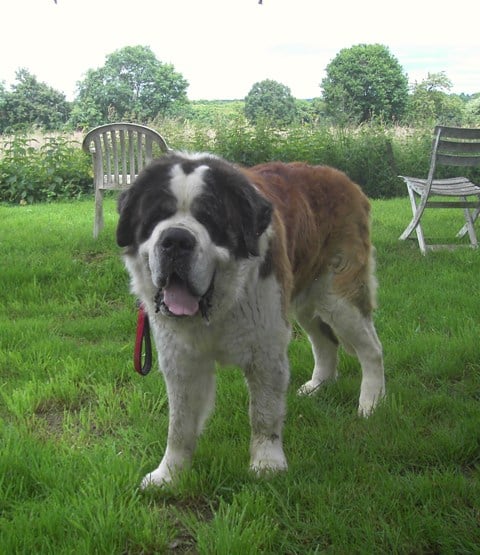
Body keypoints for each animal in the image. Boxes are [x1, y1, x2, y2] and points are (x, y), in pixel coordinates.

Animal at [116, 152, 385, 487]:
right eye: (155, 217)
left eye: (209, 218)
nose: (176, 239)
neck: (219, 304)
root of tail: (344, 179)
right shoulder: (179, 357)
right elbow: (179, 424)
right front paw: (169, 474)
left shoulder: (265, 346)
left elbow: (264, 413)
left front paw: (267, 464)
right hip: (305, 299)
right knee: (324, 341)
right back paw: (318, 384)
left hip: (338, 298)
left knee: (371, 349)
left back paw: (371, 402)